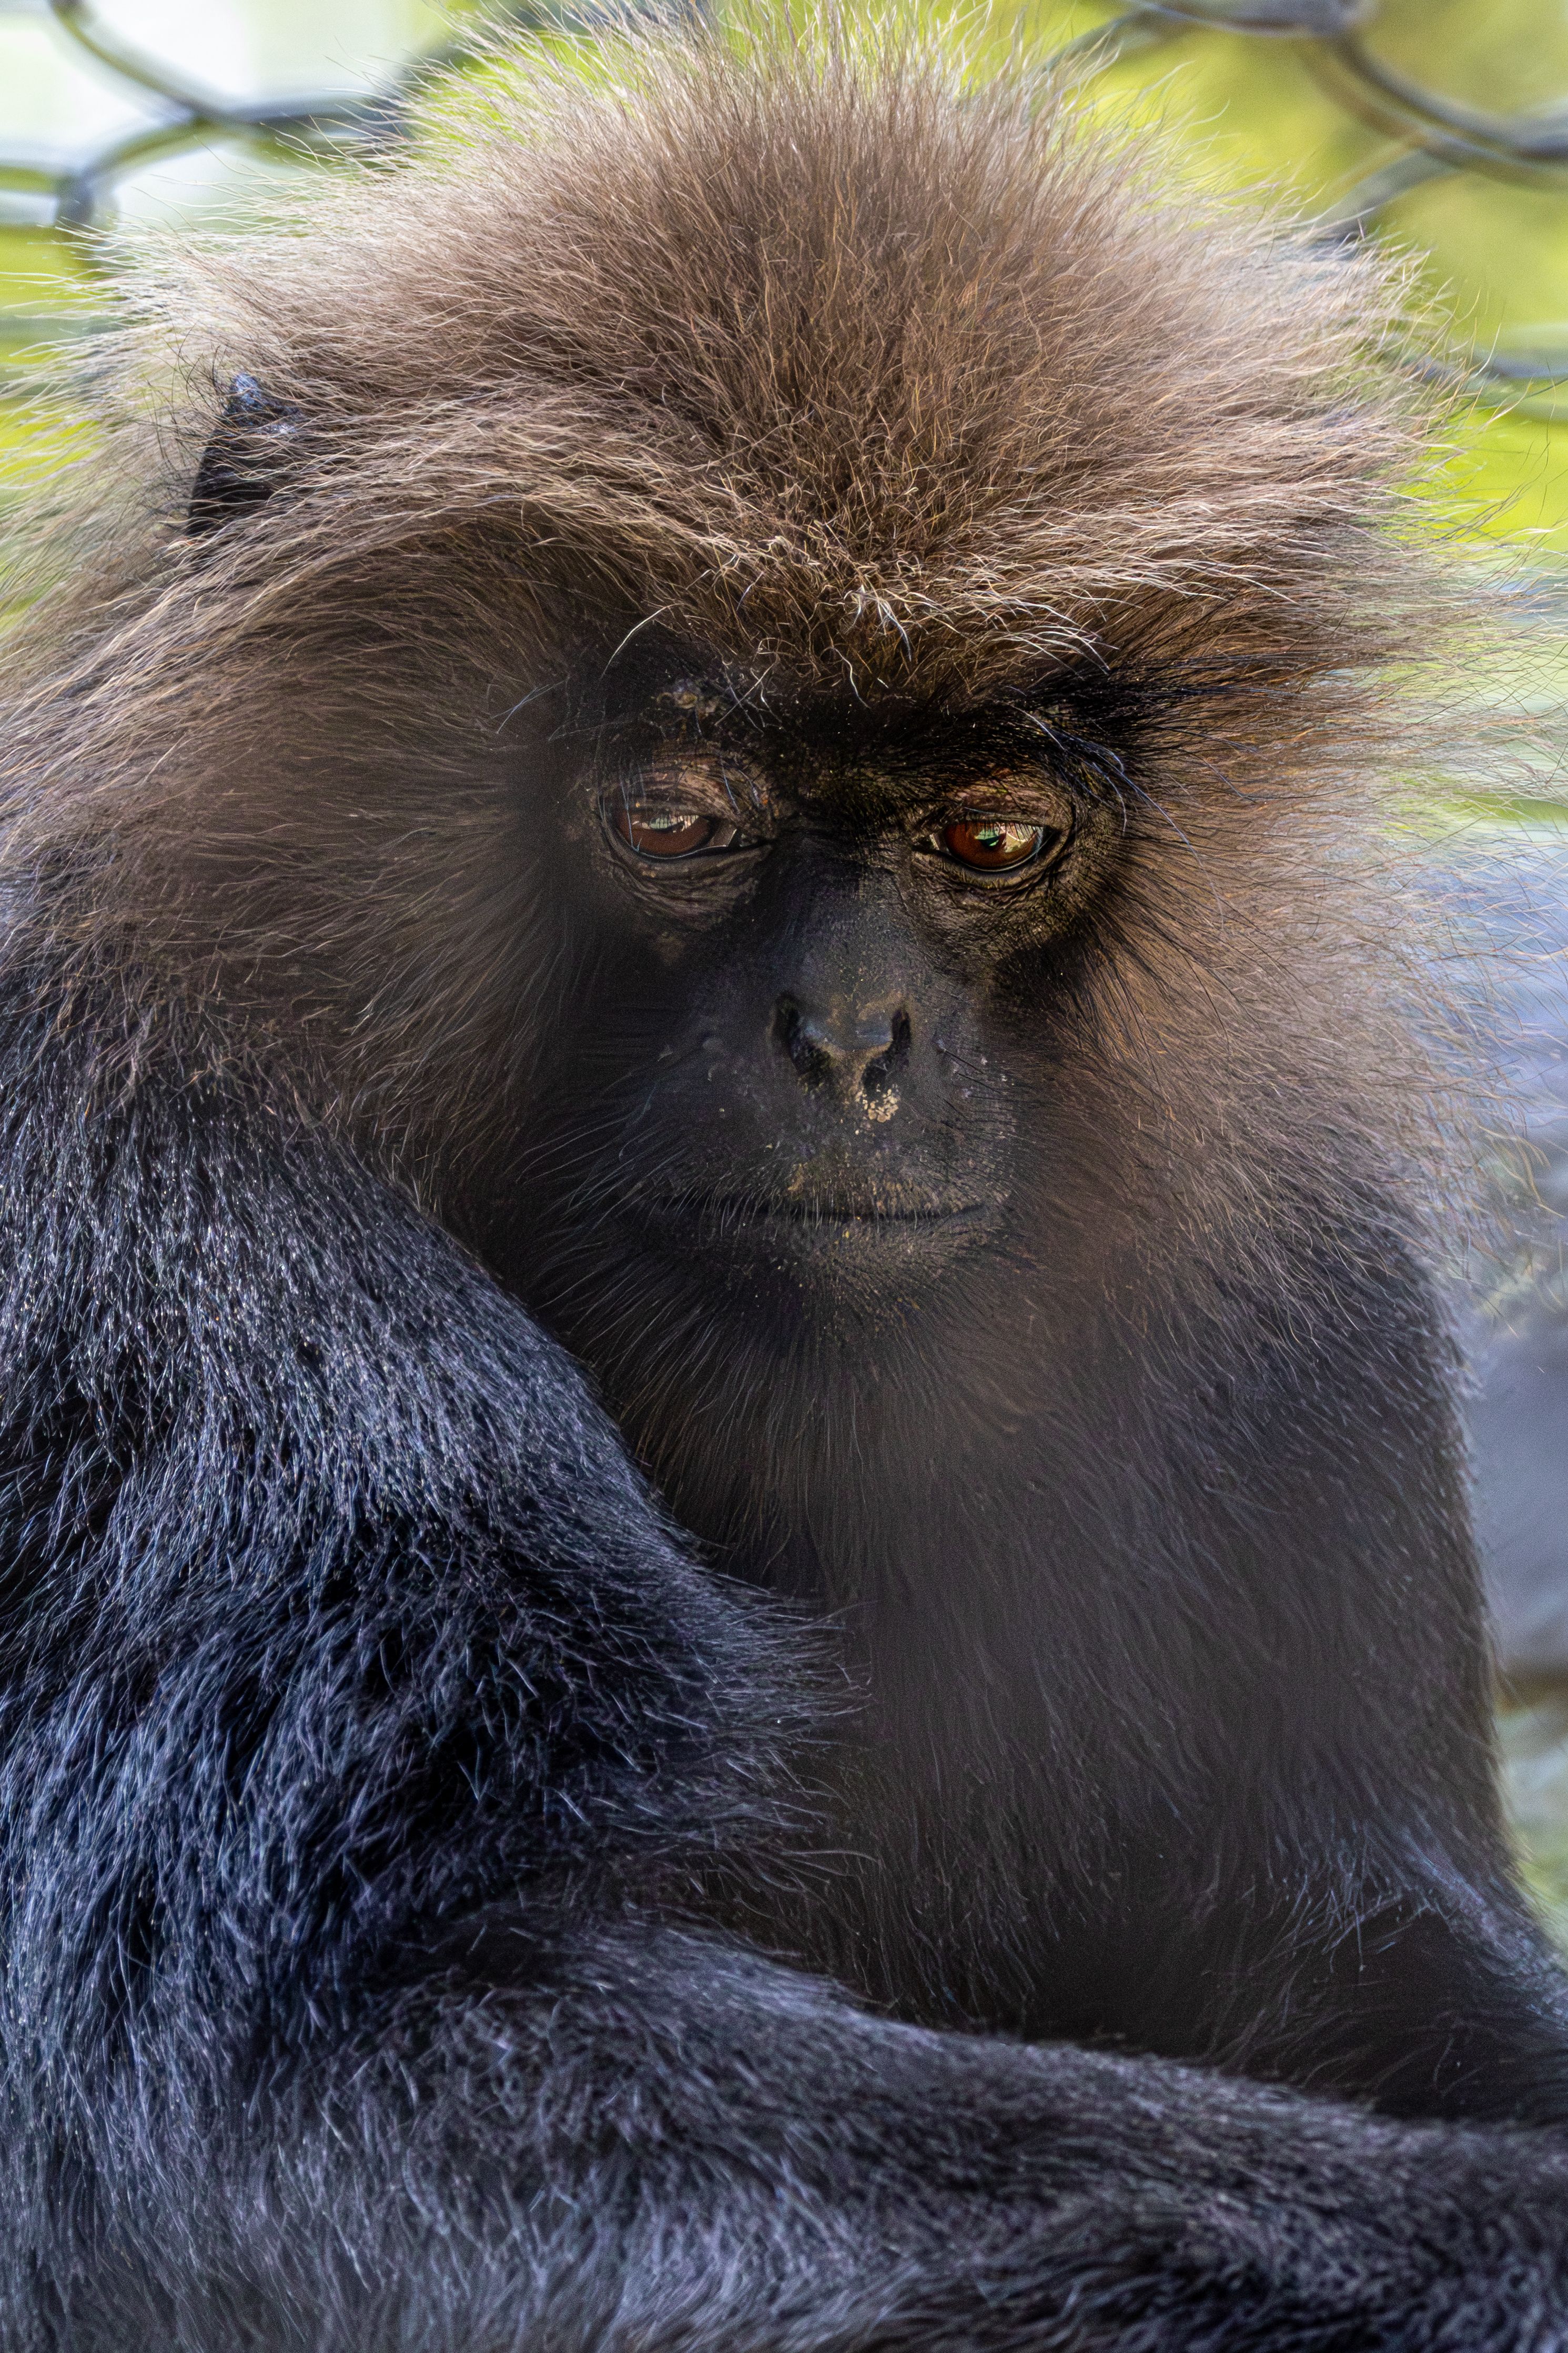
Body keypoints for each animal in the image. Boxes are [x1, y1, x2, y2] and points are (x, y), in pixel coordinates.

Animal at [2, 18, 1568, 2348]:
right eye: (680, 815)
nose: (849, 1037)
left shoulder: (1298, 1272)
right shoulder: (147, 1207)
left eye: (993, 835)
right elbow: (290, 2103)